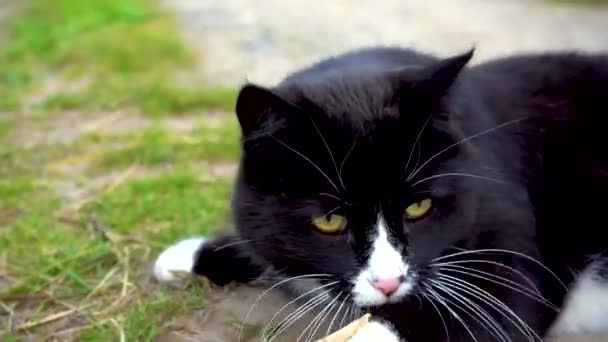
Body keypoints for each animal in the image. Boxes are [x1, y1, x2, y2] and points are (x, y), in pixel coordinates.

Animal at [153, 46, 608, 340]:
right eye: (329, 220)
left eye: (419, 206)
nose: (389, 282)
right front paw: (189, 253)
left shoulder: (506, 236)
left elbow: (485, 313)